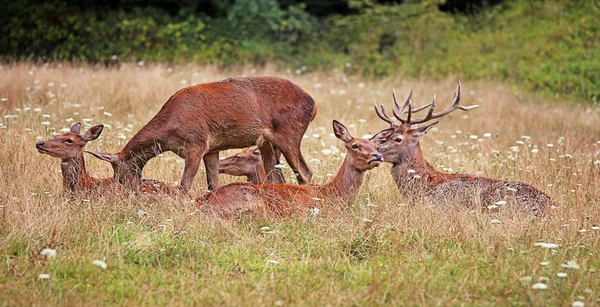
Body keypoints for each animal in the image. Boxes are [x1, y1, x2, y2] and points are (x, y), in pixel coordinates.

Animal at [372, 82, 552, 217]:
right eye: (386, 134)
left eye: (398, 139)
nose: (375, 150)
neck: (423, 185)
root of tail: (548, 207)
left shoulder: (438, 205)